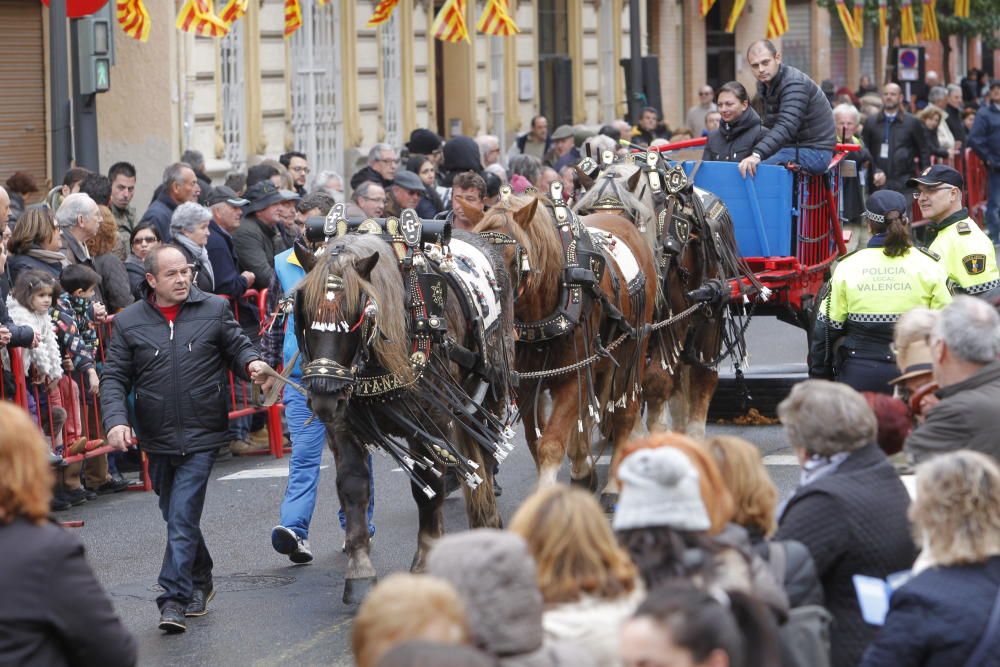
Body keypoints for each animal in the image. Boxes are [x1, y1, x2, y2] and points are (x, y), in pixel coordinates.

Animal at [292, 230, 516, 604]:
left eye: (358, 316)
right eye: (304, 314)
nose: (323, 395)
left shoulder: (430, 422)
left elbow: (429, 488)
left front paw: (424, 563)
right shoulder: (342, 425)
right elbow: (353, 488)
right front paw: (360, 571)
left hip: (490, 391)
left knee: (484, 453)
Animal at [474, 188, 660, 506]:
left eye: (514, 259)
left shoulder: (575, 376)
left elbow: (551, 443)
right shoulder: (528, 383)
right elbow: (536, 440)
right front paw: (578, 472)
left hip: (632, 348)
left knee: (624, 413)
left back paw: (613, 486)